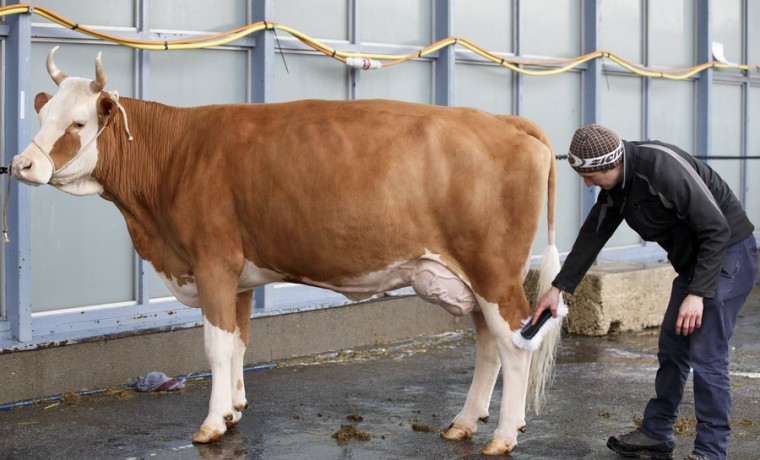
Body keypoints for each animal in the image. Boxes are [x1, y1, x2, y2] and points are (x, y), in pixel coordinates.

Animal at [10, 47, 564, 456]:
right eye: (43, 114)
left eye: (79, 123)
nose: (22, 165)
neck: (177, 156)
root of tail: (503, 121)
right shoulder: (237, 275)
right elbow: (237, 343)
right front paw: (233, 410)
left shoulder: (212, 262)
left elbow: (214, 345)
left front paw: (211, 424)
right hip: (474, 277)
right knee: (488, 344)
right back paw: (465, 422)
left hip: (493, 272)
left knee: (514, 346)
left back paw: (502, 436)